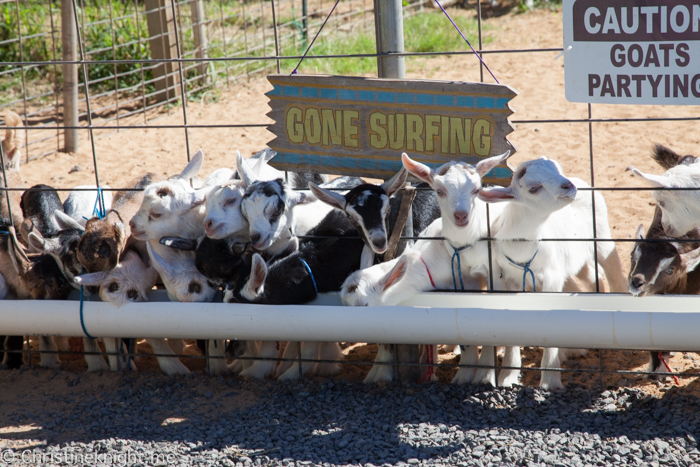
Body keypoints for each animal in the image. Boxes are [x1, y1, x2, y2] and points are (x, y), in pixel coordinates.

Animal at [478, 157, 628, 392]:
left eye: (557, 169)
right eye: (533, 188)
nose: (568, 186)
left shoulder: (552, 279)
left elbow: (551, 322)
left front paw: (549, 380)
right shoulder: (509, 282)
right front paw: (507, 377)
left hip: (602, 238)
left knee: (613, 273)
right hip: (574, 258)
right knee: (592, 277)